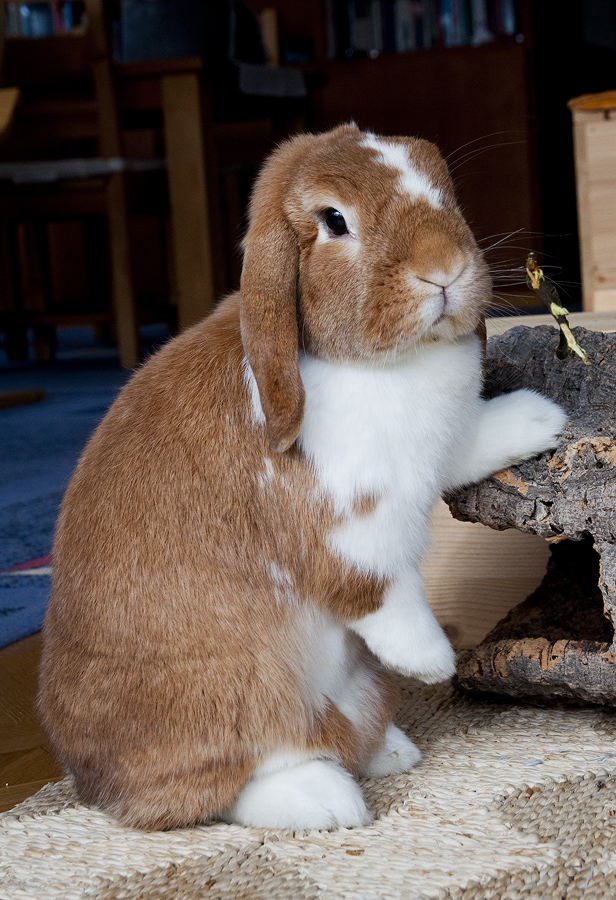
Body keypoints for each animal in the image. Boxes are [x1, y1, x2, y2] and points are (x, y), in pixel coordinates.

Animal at [37, 125, 568, 828]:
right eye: (334, 220)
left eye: (445, 188)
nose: (445, 269)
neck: (383, 365)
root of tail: (88, 780)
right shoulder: (349, 531)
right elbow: (380, 593)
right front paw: (433, 661)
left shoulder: (445, 450)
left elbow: (478, 438)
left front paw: (544, 417)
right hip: (242, 694)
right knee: (224, 786)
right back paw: (327, 800)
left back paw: (387, 750)